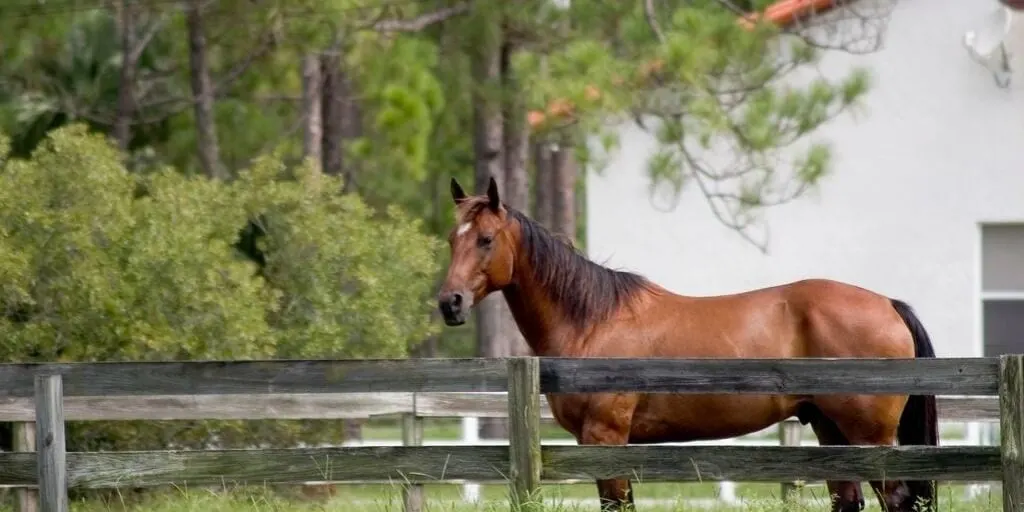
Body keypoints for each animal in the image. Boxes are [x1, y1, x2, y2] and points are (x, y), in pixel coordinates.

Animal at [436, 177, 937, 512]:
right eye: (451, 241)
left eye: (486, 240)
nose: (449, 303)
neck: (592, 321)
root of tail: (888, 304)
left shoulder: (606, 439)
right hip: (831, 432)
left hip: (869, 438)